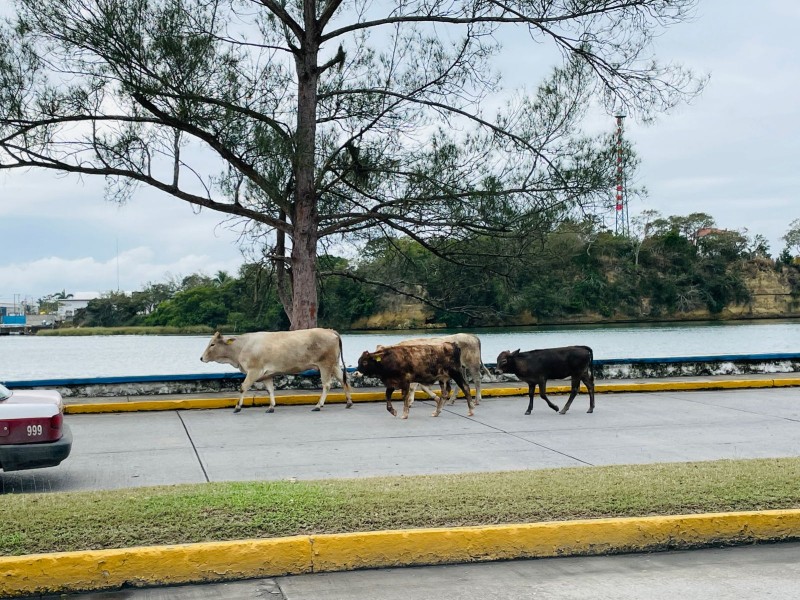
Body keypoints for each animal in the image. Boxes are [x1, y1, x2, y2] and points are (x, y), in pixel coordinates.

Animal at [200, 328, 354, 412]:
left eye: (212, 344)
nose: (201, 358)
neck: (242, 347)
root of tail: (329, 330)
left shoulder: (254, 371)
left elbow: (243, 387)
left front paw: (237, 407)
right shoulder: (266, 374)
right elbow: (270, 390)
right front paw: (271, 407)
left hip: (325, 365)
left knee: (326, 384)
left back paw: (318, 405)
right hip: (334, 365)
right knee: (344, 380)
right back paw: (348, 402)